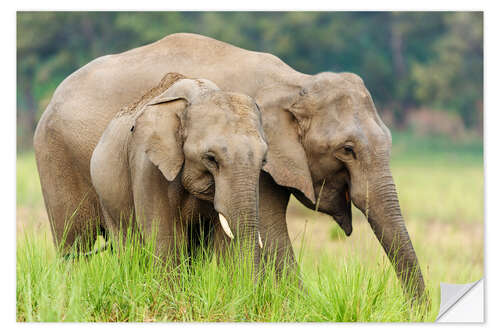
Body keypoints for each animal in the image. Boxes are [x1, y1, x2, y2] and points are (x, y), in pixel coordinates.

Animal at [34, 33, 426, 300]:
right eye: (347, 150)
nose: (415, 312)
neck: (295, 83)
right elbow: (270, 232)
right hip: (55, 158)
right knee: (74, 246)